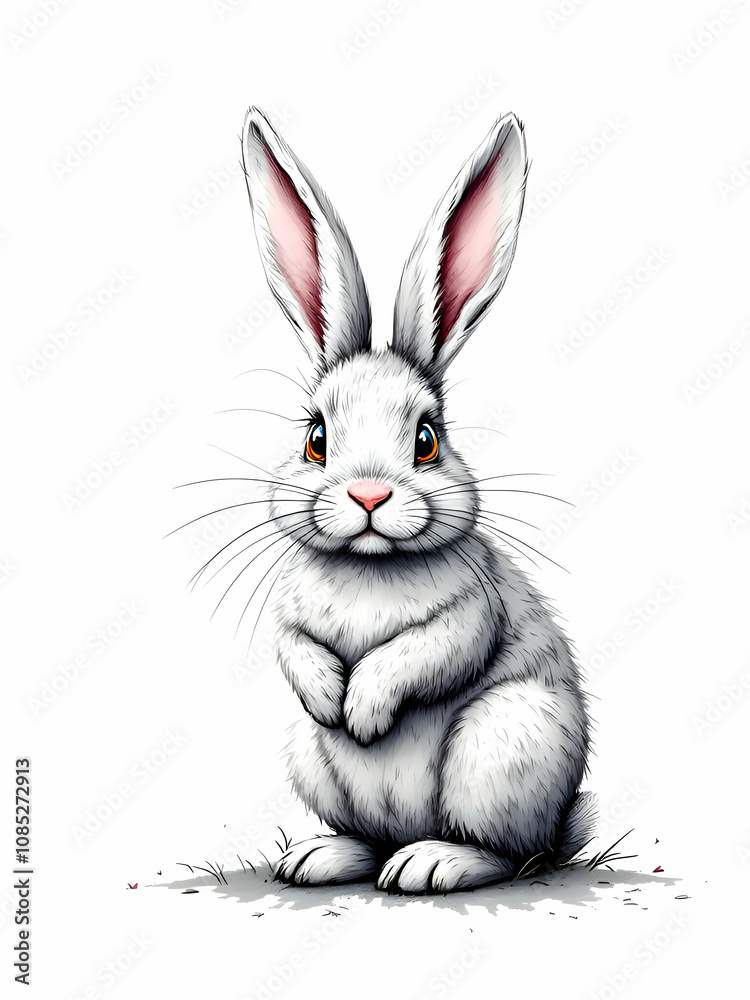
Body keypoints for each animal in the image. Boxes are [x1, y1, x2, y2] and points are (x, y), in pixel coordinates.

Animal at [240, 106, 595, 894]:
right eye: (316, 437)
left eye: (427, 439)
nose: (369, 493)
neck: (370, 566)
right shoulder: (289, 617)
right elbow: (294, 648)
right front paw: (330, 699)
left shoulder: (469, 614)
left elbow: (425, 652)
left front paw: (364, 712)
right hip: (310, 759)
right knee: (368, 837)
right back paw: (320, 858)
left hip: (502, 743)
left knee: (509, 852)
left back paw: (433, 863)